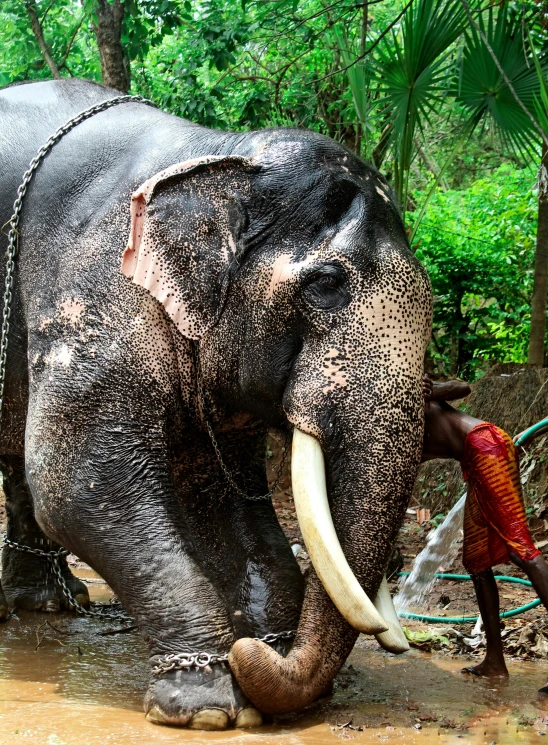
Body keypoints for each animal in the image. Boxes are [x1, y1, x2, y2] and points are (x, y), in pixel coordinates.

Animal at [0, 80, 432, 728]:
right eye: (327, 284)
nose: (255, 652)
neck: (216, 151)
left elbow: (228, 499)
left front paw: (259, 661)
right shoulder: (87, 294)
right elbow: (79, 489)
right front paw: (209, 706)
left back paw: (49, 603)